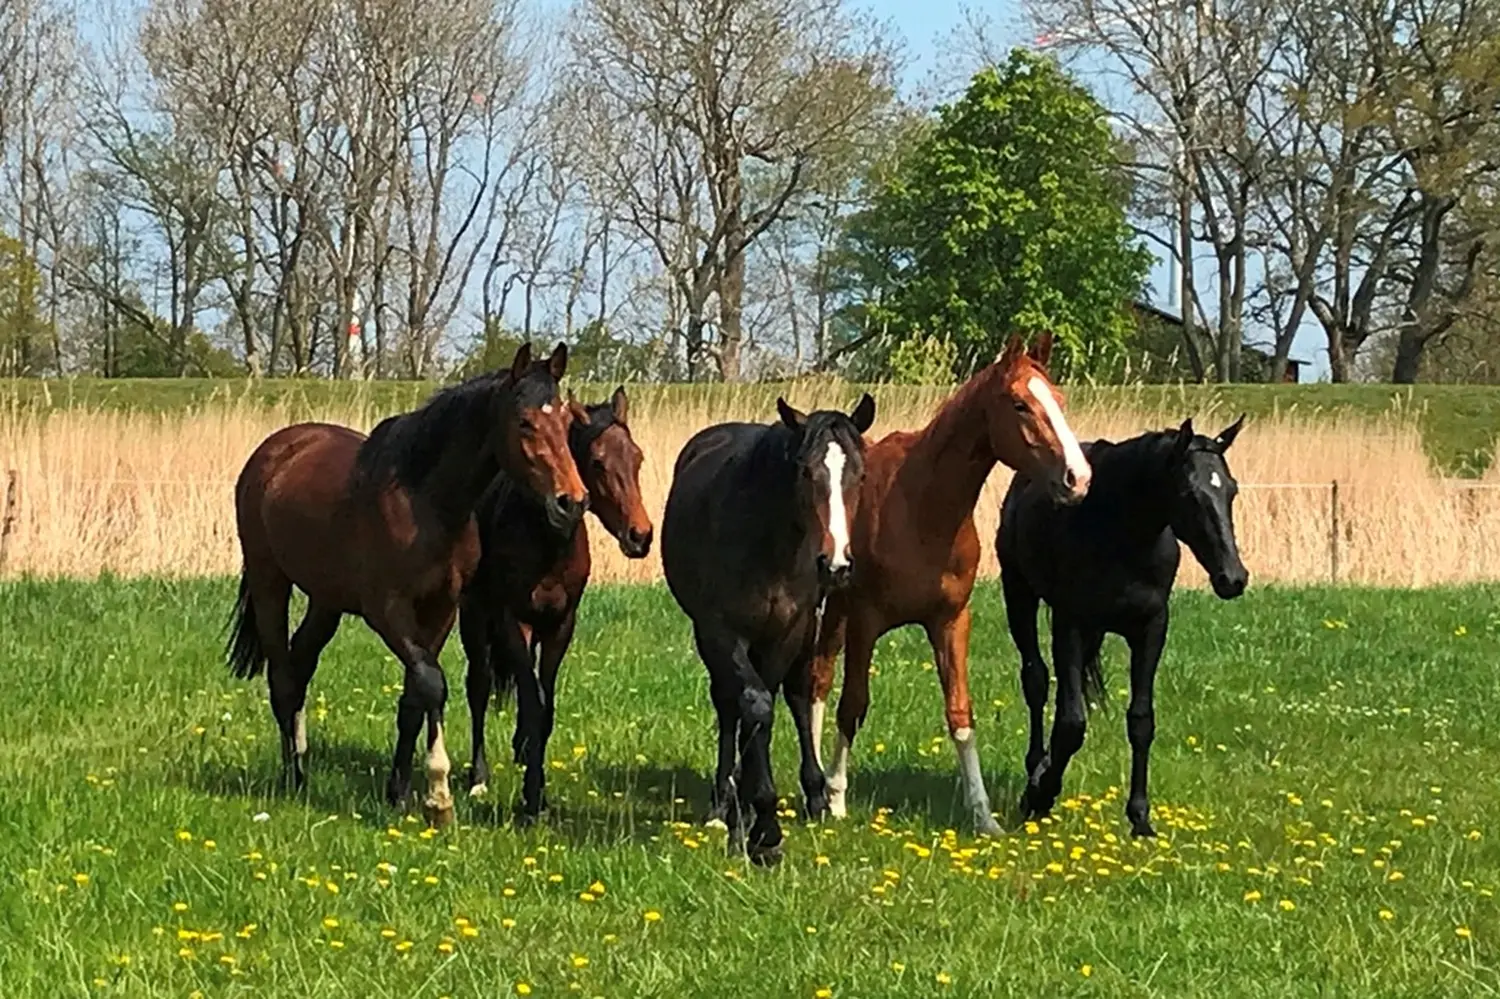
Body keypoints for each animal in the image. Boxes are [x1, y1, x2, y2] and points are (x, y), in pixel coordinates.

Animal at [225, 342, 587, 827]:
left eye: (566, 421)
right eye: (525, 422)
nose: (571, 501)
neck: (424, 502)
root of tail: (275, 449)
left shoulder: (441, 609)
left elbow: (414, 699)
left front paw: (399, 792)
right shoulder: (388, 611)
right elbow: (432, 684)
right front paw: (439, 796)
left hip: (326, 601)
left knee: (300, 665)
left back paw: (301, 760)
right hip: (270, 583)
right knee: (282, 677)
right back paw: (295, 779)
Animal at [459, 386, 653, 820]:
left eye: (637, 457)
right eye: (597, 462)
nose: (641, 536)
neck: (546, 541)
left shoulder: (561, 624)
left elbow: (543, 706)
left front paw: (538, 783)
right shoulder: (512, 620)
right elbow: (530, 703)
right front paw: (532, 798)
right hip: (474, 617)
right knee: (479, 685)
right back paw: (478, 777)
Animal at [662, 393, 877, 864]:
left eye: (859, 474)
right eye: (805, 470)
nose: (836, 564)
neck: (769, 545)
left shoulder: (785, 633)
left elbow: (773, 701)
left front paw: (759, 821)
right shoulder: (721, 631)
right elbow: (754, 705)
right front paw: (760, 824)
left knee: (791, 696)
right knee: (729, 703)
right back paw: (724, 803)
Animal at [809, 333, 1092, 836]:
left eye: (1059, 400)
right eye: (1020, 404)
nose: (1077, 478)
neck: (921, 505)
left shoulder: (951, 621)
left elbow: (961, 713)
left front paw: (984, 816)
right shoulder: (865, 622)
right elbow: (853, 704)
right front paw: (838, 799)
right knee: (818, 683)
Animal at [997, 416, 1248, 837]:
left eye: (1231, 489)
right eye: (1188, 492)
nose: (1233, 578)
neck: (1120, 533)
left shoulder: (1151, 629)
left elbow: (1141, 721)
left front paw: (1140, 818)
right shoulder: (1071, 623)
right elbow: (1071, 723)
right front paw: (1039, 795)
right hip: (1019, 594)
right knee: (1036, 681)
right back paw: (1035, 769)